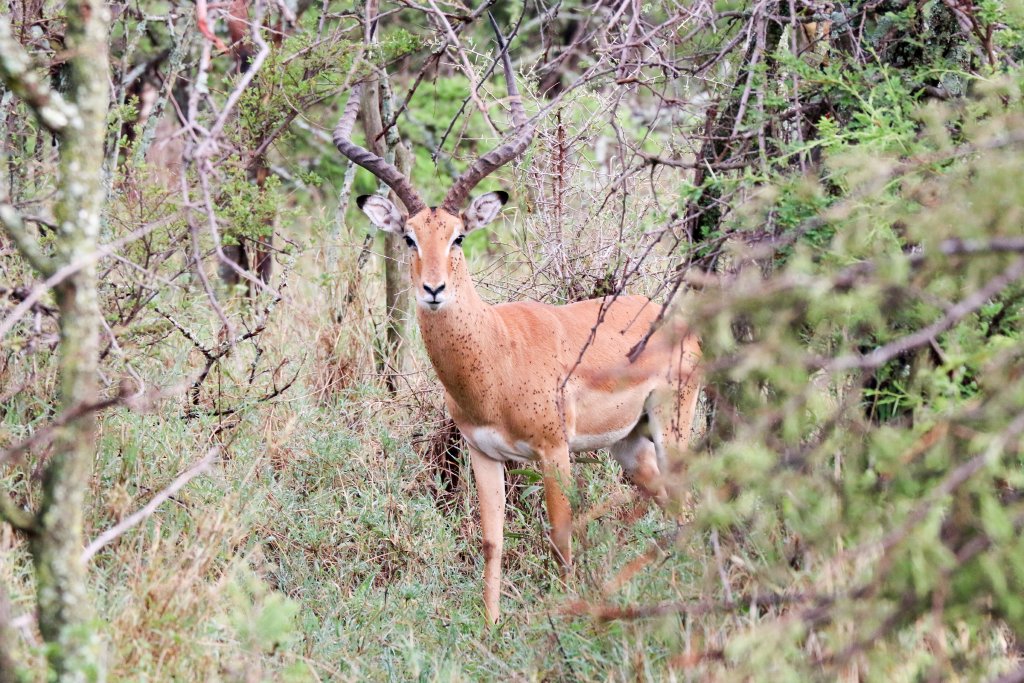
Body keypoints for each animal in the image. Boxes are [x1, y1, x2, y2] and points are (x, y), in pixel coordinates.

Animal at [333, 25, 701, 623]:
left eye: (458, 236)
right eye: (409, 237)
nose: (433, 290)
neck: (494, 358)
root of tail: (672, 317)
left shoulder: (553, 452)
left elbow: (561, 534)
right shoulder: (483, 453)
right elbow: (492, 540)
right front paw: (490, 627)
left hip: (672, 422)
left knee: (688, 500)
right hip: (630, 442)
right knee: (668, 502)